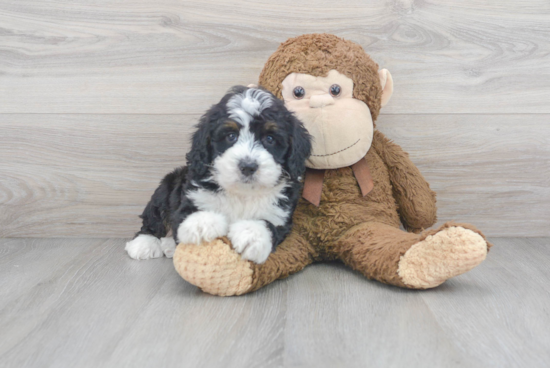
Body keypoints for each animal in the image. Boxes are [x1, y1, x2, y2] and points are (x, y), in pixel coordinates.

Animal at [126, 85, 312, 264]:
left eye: (270, 139)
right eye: (231, 136)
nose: (248, 166)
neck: (242, 193)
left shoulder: (280, 215)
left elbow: (269, 225)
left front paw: (251, 233)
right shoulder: (192, 195)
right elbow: (187, 213)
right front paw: (201, 223)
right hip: (167, 184)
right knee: (154, 217)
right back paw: (144, 243)